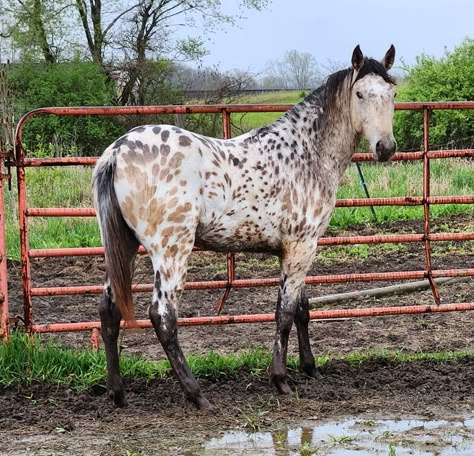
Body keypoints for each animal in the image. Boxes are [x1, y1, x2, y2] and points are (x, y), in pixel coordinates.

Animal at [92, 45, 396, 410]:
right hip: (171, 252)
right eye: (360, 94)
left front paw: (310, 368)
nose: (385, 148)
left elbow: (302, 310)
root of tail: (118, 152)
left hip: (124, 246)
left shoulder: (296, 249)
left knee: (109, 312)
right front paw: (280, 380)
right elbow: (284, 313)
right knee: (163, 317)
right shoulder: (302, 247)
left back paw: (118, 393)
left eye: (392, 93)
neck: (306, 153)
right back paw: (197, 395)